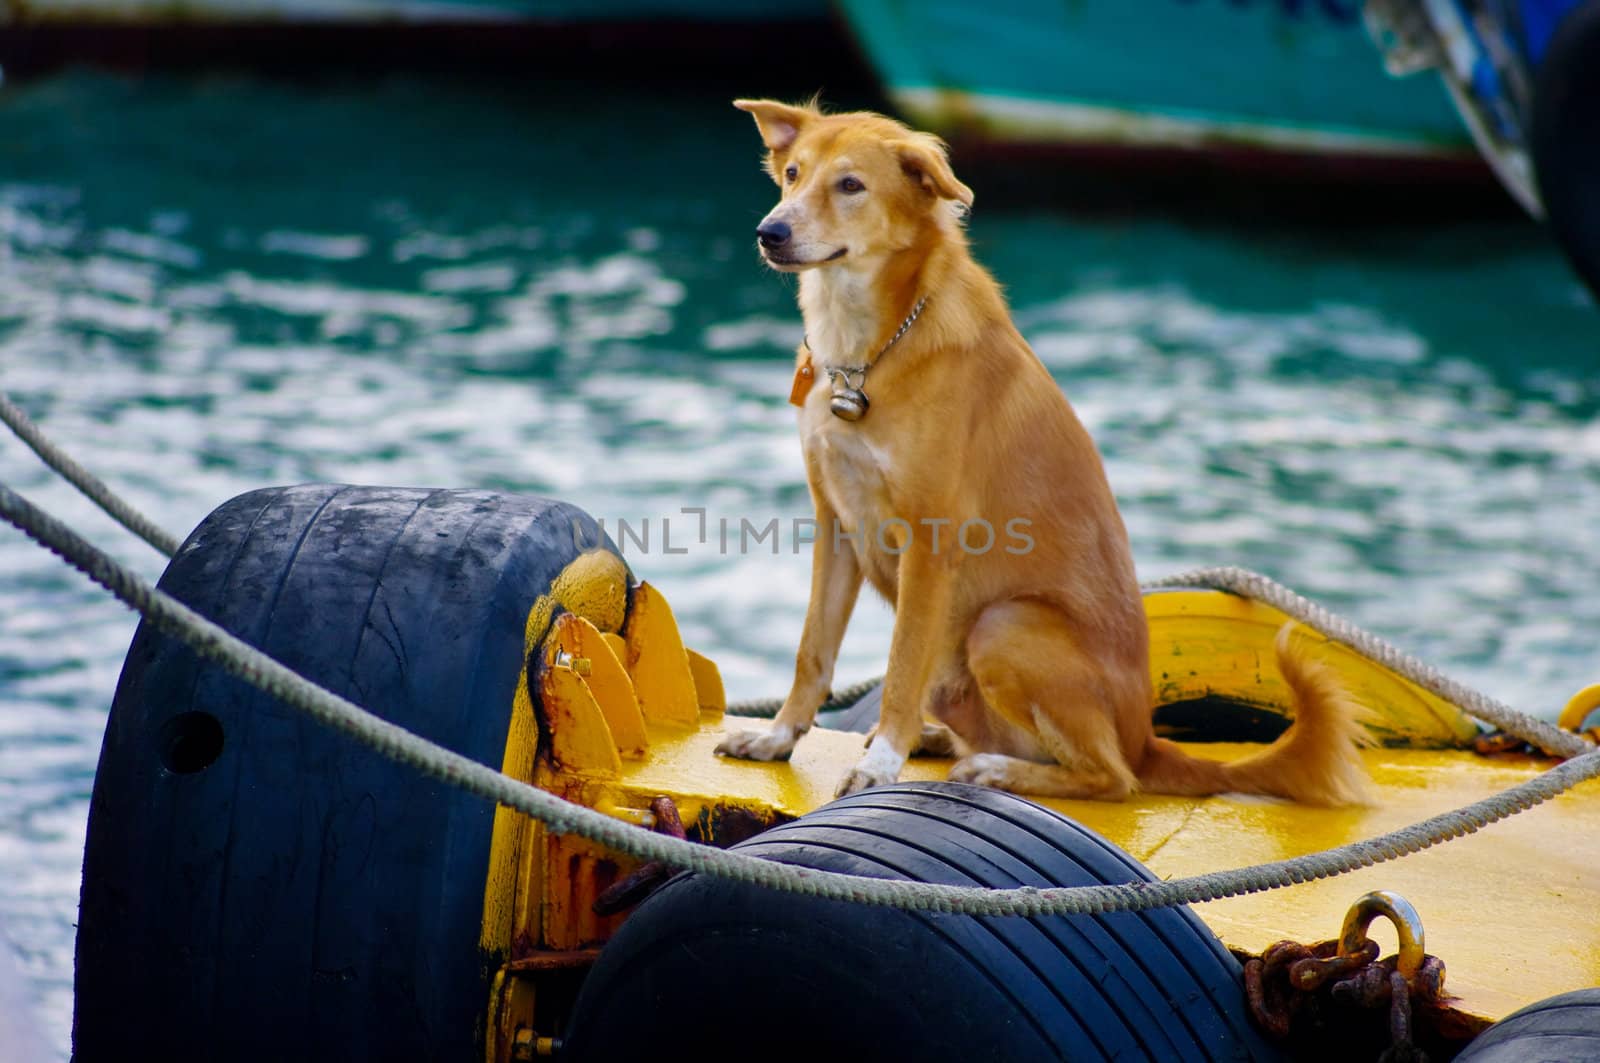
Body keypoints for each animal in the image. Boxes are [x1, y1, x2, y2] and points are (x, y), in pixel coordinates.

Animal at [720, 99, 1369, 806]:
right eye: (792, 173)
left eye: (850, 185)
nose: (769, 232)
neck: (866, 355)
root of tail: (1148, 739)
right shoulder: (836, 523)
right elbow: (812, 651)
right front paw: (778, 738)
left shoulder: (930, 543)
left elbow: (900, 664)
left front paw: (881, 763)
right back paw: (944, 740)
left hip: (1003, 625)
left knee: (1112, 778)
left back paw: (995, 769)